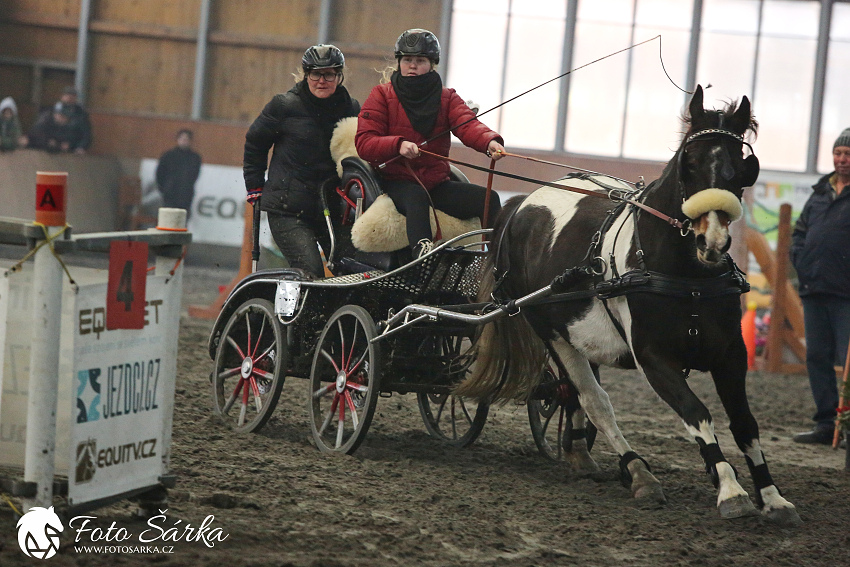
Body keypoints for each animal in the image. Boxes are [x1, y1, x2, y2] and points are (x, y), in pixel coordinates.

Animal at [454, 86, 800, 524]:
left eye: (741, 167)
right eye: (689, 163)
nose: (713, 242)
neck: (687, 278)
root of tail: (521, 205)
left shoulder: (731, 355)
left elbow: (745, 423)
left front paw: (772, 496)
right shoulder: (654, 357)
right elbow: (696, 412)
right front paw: (729, 488)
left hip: (577, 328)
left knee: (574, 393)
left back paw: (581, 453)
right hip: (550, 331)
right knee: (592, 399)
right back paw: (638, 472)